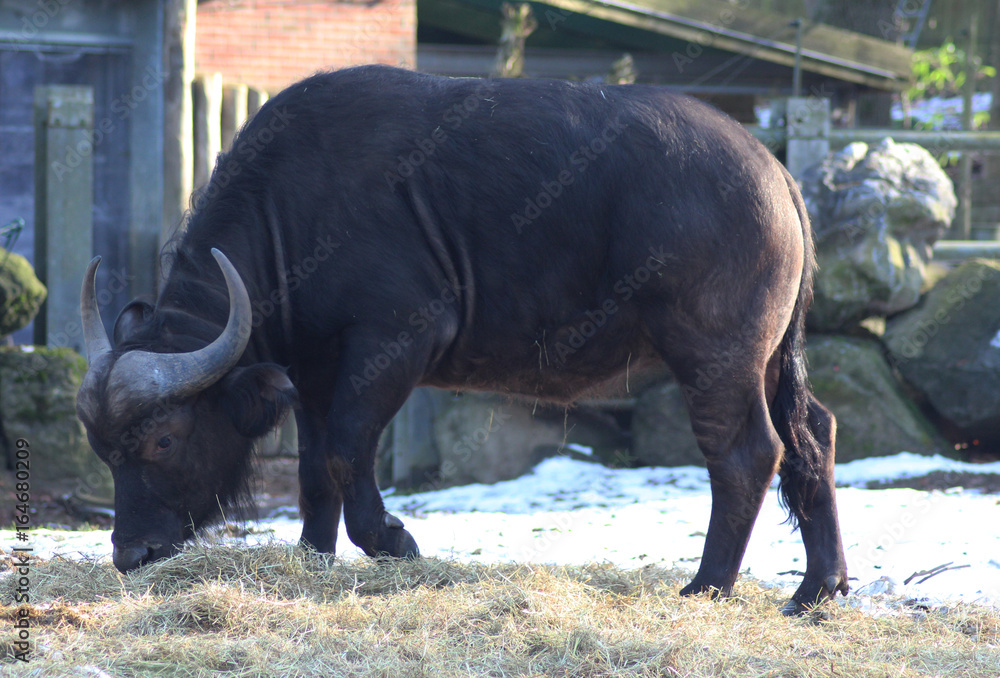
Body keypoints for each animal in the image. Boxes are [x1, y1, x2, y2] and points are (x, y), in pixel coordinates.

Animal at [78, 65, 848, 614]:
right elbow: (312, 472)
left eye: (164, 440)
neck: (291, 217)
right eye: (103, 453)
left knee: (747, 453)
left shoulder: (394, 341)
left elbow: (344, 455)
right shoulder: (315, 372)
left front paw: (394, 541)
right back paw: (816, 589)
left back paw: (708, 586)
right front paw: (311, 558)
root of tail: (774, 172)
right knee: (812, 433)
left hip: (715, 354)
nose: (131, 555)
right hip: (770, 358)